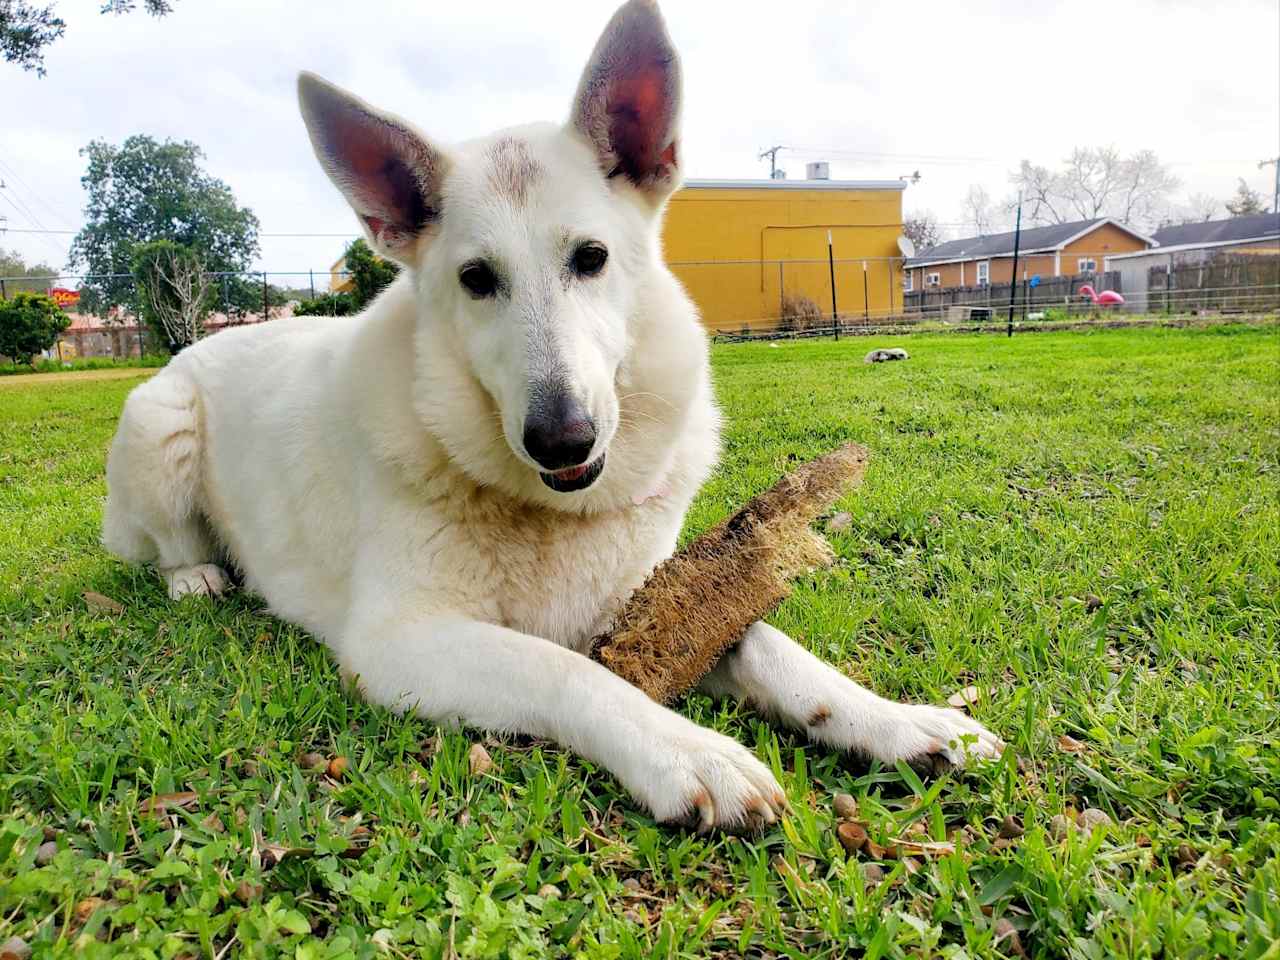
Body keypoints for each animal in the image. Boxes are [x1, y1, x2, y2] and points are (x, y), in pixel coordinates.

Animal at [102, 0, 998, 834]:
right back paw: (195, 574)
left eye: (590, 259)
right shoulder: (398, 642)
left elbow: (768, 643)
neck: (545, 512)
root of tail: (201, 344)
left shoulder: (642, 592)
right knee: (168, 544)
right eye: (476, 280)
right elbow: (568, 670)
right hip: (159, 422)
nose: (562, 438)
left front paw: (897, 720)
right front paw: (689, 751)